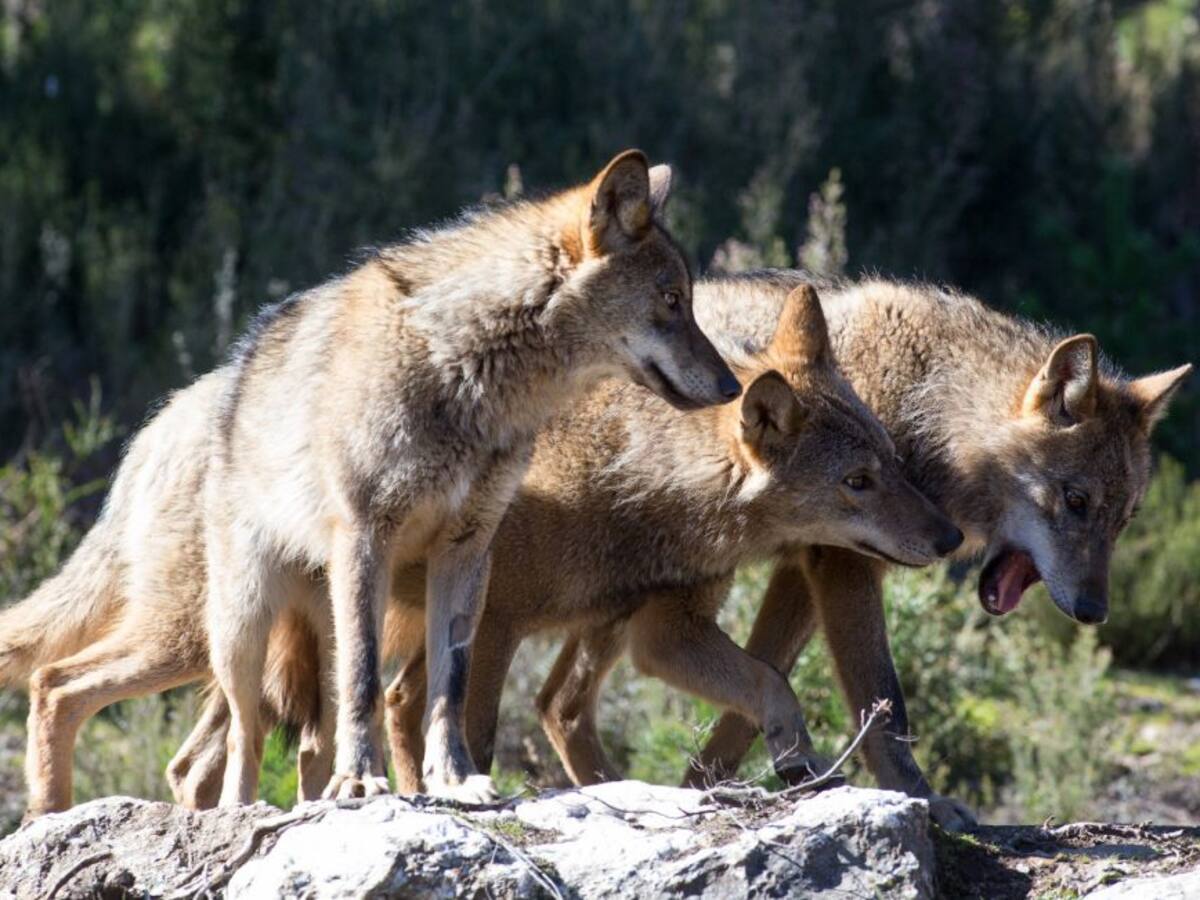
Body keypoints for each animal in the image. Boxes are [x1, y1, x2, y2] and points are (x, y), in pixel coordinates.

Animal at [0, 150, 740, 815]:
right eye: (672, 301)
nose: (733, 387)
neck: (464, 371)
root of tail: (160, 423)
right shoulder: (366, 536)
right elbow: (365, 682)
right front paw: (363, 783)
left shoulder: (468, 553)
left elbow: (448, 686)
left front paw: (455, 780)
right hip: (223, 631)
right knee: (104, 700)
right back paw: (113, 815)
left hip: (283, 632)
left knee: (260, 746)